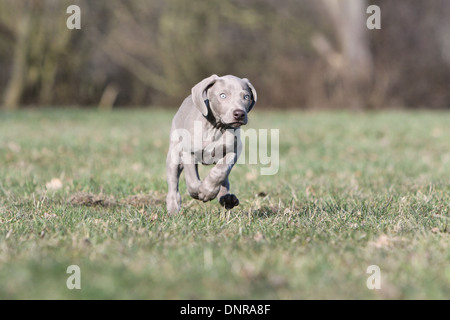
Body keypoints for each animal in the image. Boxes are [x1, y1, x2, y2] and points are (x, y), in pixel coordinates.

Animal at [166, 74, 258, 215]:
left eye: (246, 97)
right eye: (223, 95)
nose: (239, 114)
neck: (216, 128)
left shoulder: (234, 151)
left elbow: (220, 171)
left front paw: (208, 191)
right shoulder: (187, 151)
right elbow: (191, 178)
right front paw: (198, 191)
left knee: (224, 178)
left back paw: (227, 198)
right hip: (174, 152)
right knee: (173, 181)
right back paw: (173, 207)